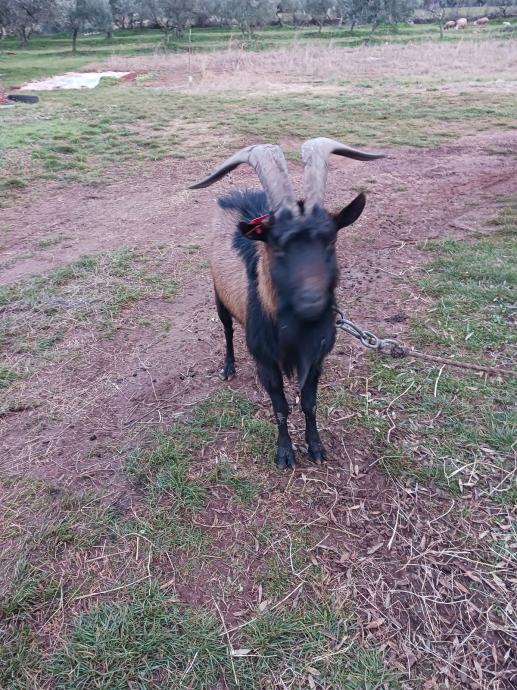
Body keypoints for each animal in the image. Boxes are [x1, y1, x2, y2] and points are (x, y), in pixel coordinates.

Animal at [190, 139, 384, 468]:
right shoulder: (266, 360)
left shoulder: (316, 358)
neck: (295, 331)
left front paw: (315, 447)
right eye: (277, 246)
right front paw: (284, 453)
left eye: (331, 241)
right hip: (218, 293)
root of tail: (234, 195)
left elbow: (309, 403)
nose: (312, 302)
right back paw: (228, 367)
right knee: (227, 330)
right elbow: (280, 406)